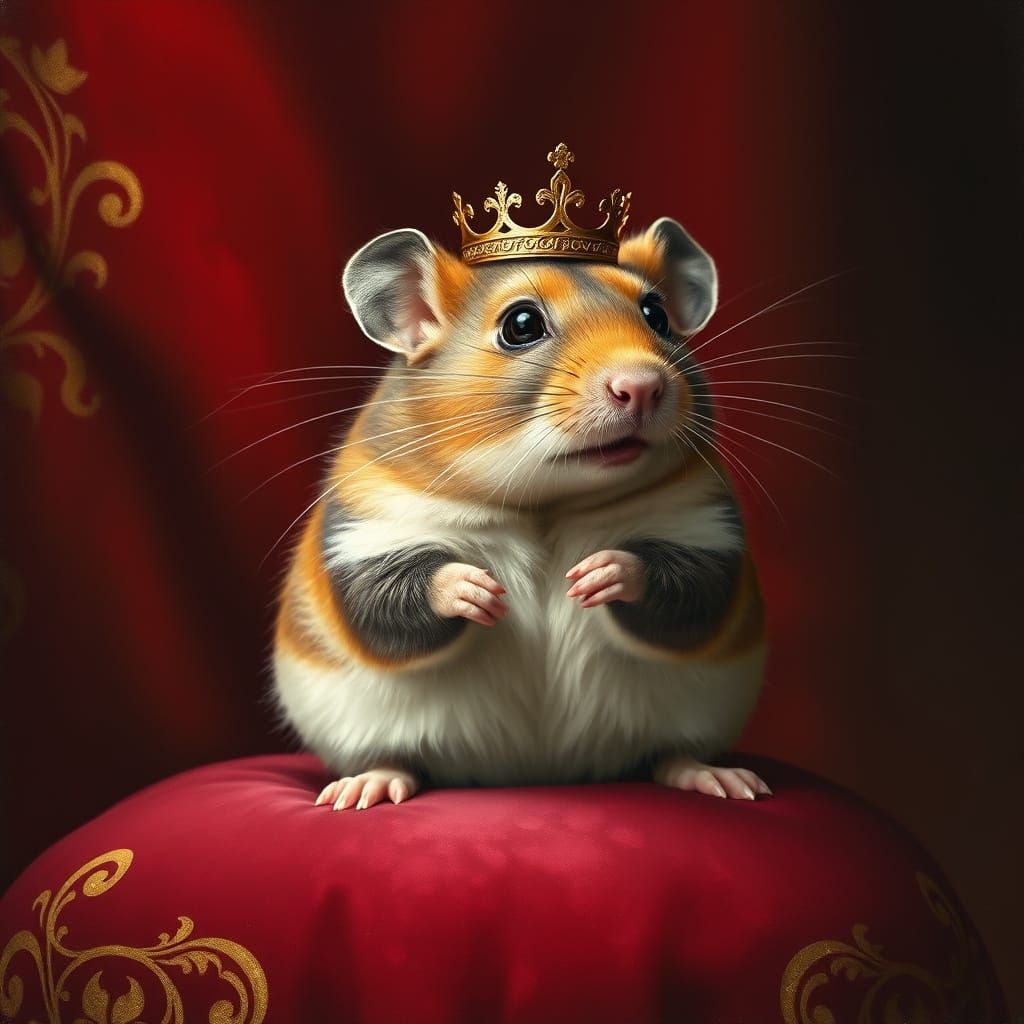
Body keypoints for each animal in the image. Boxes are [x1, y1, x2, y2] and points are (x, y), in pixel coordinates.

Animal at [273, 217, 769, 810]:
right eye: (522, 324)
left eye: (657, 314)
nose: (643, 385)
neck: (543, 506)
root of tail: (531, 768)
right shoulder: (367, 529)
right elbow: (382, 599)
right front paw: (475, 590)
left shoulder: (704, 527)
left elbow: (692, 588)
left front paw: (601, 573)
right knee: (398, 759)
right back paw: (364, 785)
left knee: (668, 753)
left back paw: (718, 777)